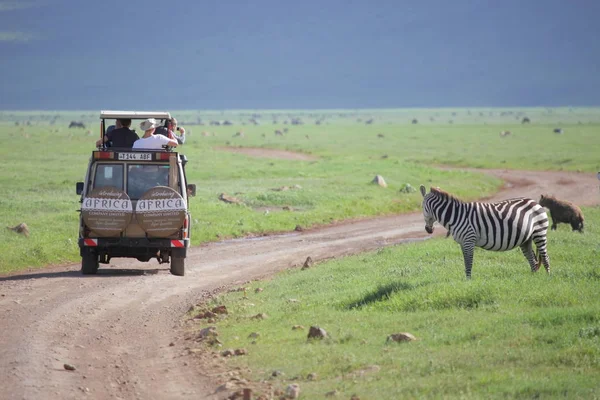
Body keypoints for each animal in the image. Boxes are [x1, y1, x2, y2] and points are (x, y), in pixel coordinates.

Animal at [420, 184, 552, 278]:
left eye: (422, 207)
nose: (428, 229)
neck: (456, 216)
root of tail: (534, 202)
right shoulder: (463, 242)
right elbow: (465, 262)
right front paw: (467, 280)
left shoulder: (469, 240)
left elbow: (469, 262)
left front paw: (468, 281)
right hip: (526, 239)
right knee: (532, 259)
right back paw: (533, 278)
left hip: (539, 232)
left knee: (545, 257)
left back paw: (548, 278)